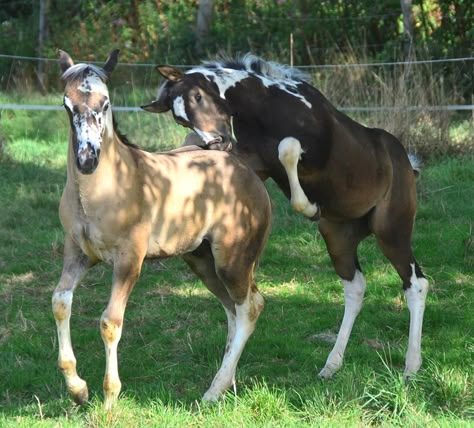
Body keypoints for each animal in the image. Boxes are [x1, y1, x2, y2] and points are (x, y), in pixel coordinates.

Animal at [51, 50, 270, 408]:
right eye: (67, 105)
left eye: (106, 103)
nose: (87, 159)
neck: (99, 191)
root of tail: (241, 166)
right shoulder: (77, 253)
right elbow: (60, 302)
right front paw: (77, 388)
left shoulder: (129, 260)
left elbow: (110, 322)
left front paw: (109, 400)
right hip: (201, 260)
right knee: (232, 310)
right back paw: (228, 383)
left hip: (233, 259)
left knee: (250, 306)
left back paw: (213, 391)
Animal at [142, 54, 430, 382]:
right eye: (180, 119)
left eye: (199, 97)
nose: (215, 142)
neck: (268, 106)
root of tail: (406, 162)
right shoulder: (255, 162)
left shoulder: (313, 153)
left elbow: (287, 149)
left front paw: (309, 207)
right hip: (338, 237)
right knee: (355, 288)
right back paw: (332, 365)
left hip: (390, 230)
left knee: (416, 284)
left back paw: (411, 366)